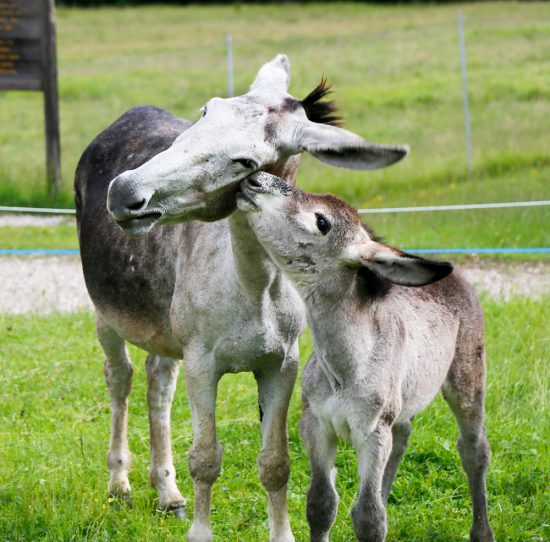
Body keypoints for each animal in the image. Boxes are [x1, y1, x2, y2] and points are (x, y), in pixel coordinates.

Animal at [239, 173, 498, 542]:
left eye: (321, 222)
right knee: (403, 436)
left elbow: (369, 518)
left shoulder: (373, 433)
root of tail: (456, 278)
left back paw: (482, 530)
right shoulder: (315, 425)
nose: (255, 179)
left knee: (474, 449)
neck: (345, 370)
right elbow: (320, 504)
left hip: (468, 376)